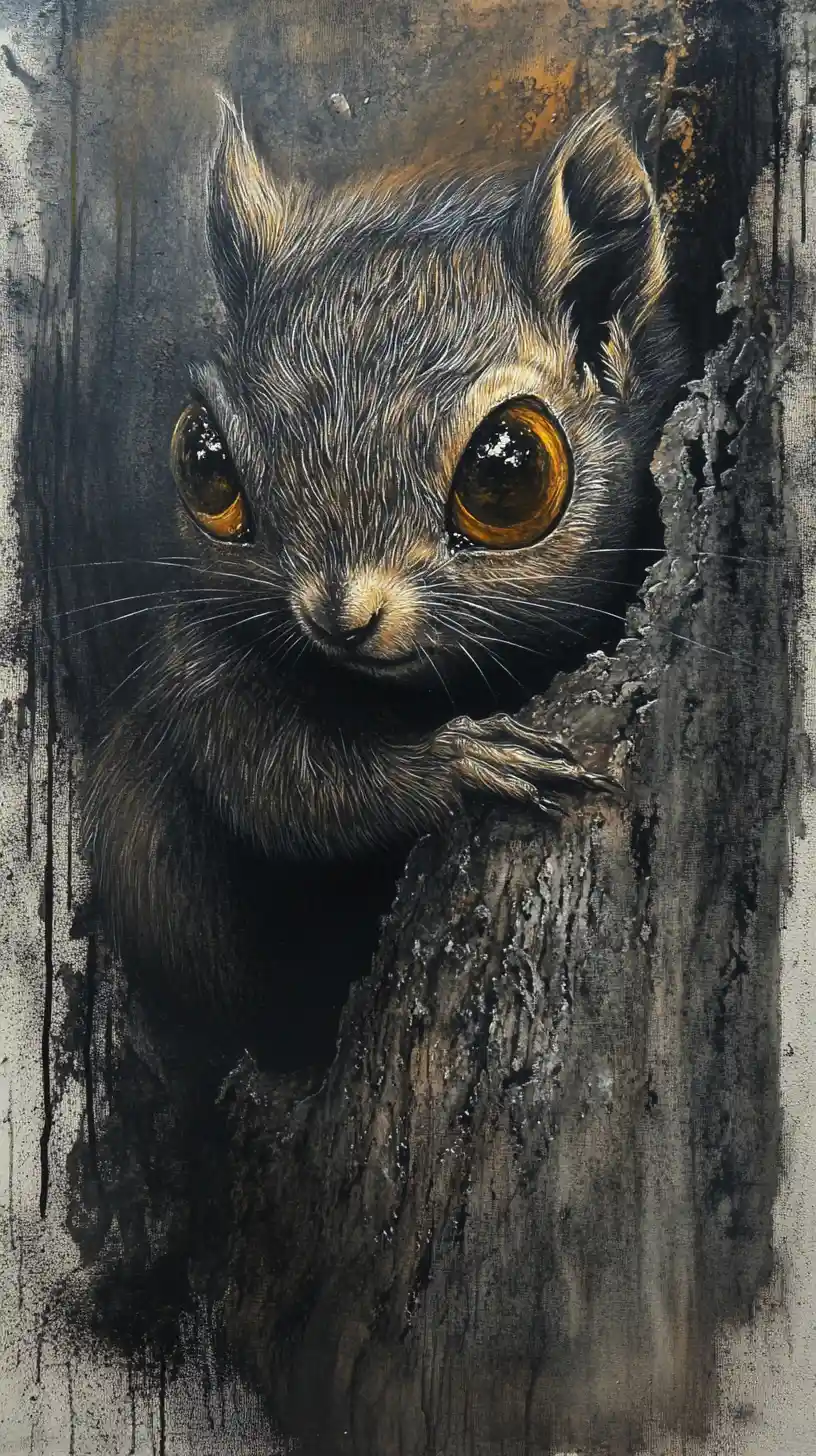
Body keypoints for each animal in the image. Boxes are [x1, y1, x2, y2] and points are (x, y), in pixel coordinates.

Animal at [81, 100, 680, 1061]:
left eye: (508, 475)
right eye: (204, 460)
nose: (341, 616)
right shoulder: (200, 653)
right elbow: (272, 775)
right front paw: (464, 760)